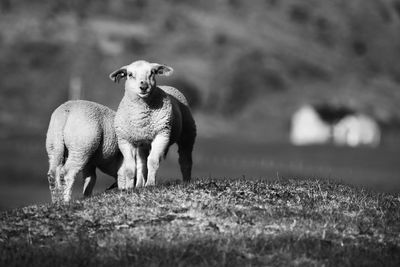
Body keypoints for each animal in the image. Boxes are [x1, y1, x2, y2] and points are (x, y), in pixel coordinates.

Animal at [109, 59, 197, 188]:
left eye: (152, 73)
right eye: (130, 74)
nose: (144, 87)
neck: (141, 119)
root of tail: (165, 86)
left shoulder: (162, 134)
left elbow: (153, 161)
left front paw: (150, 183)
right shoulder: (125, 140)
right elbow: (130, 168)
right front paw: (129, 188)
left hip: (188, 132)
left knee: (185, 160)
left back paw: (186, 181)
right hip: (142, 143)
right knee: (141, 164)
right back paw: (139, 184)